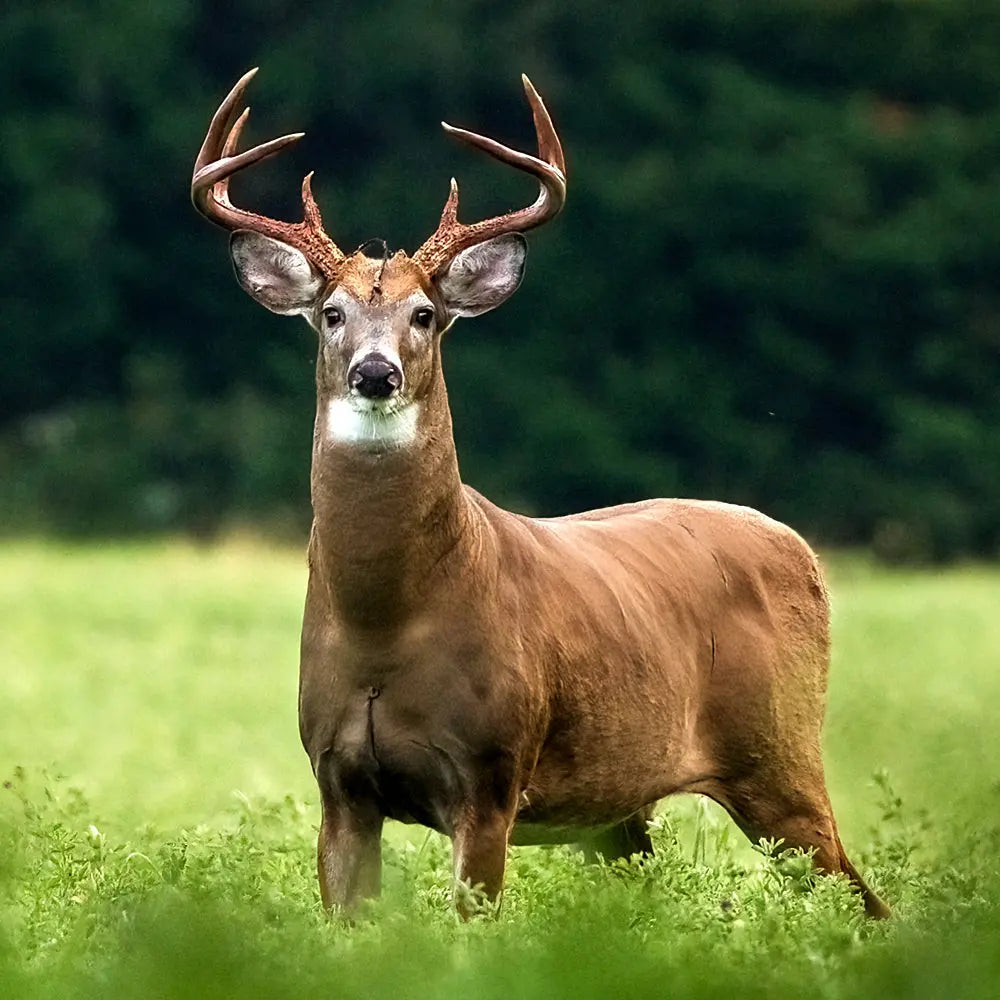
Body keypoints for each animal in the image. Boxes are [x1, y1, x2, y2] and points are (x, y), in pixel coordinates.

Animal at [191, 68, 890, 920]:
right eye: (331, 314)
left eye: (425, 314)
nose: (375, 372)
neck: (385, 624)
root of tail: (801, 548)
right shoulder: (338, 784)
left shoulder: (491, 772)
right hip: (621, 808)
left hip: (779, 754)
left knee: (863, 896)